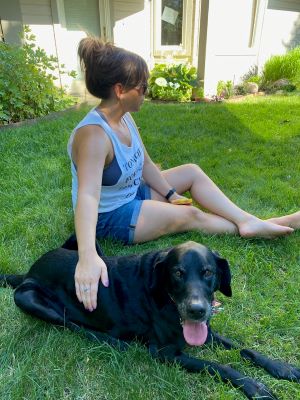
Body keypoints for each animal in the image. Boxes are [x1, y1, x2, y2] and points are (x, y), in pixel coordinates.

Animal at [0, 236, 300, 398]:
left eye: (208, 272)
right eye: (177, 273)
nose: (197, 310)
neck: (165, 299)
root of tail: (28, 271)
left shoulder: (207, 332)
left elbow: (244, 349)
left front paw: (282, 368)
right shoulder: (164, 352)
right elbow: (219, 366)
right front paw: (254, 386)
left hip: (93, 250)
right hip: (28, 299)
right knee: (71, 324)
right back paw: (113, 341)